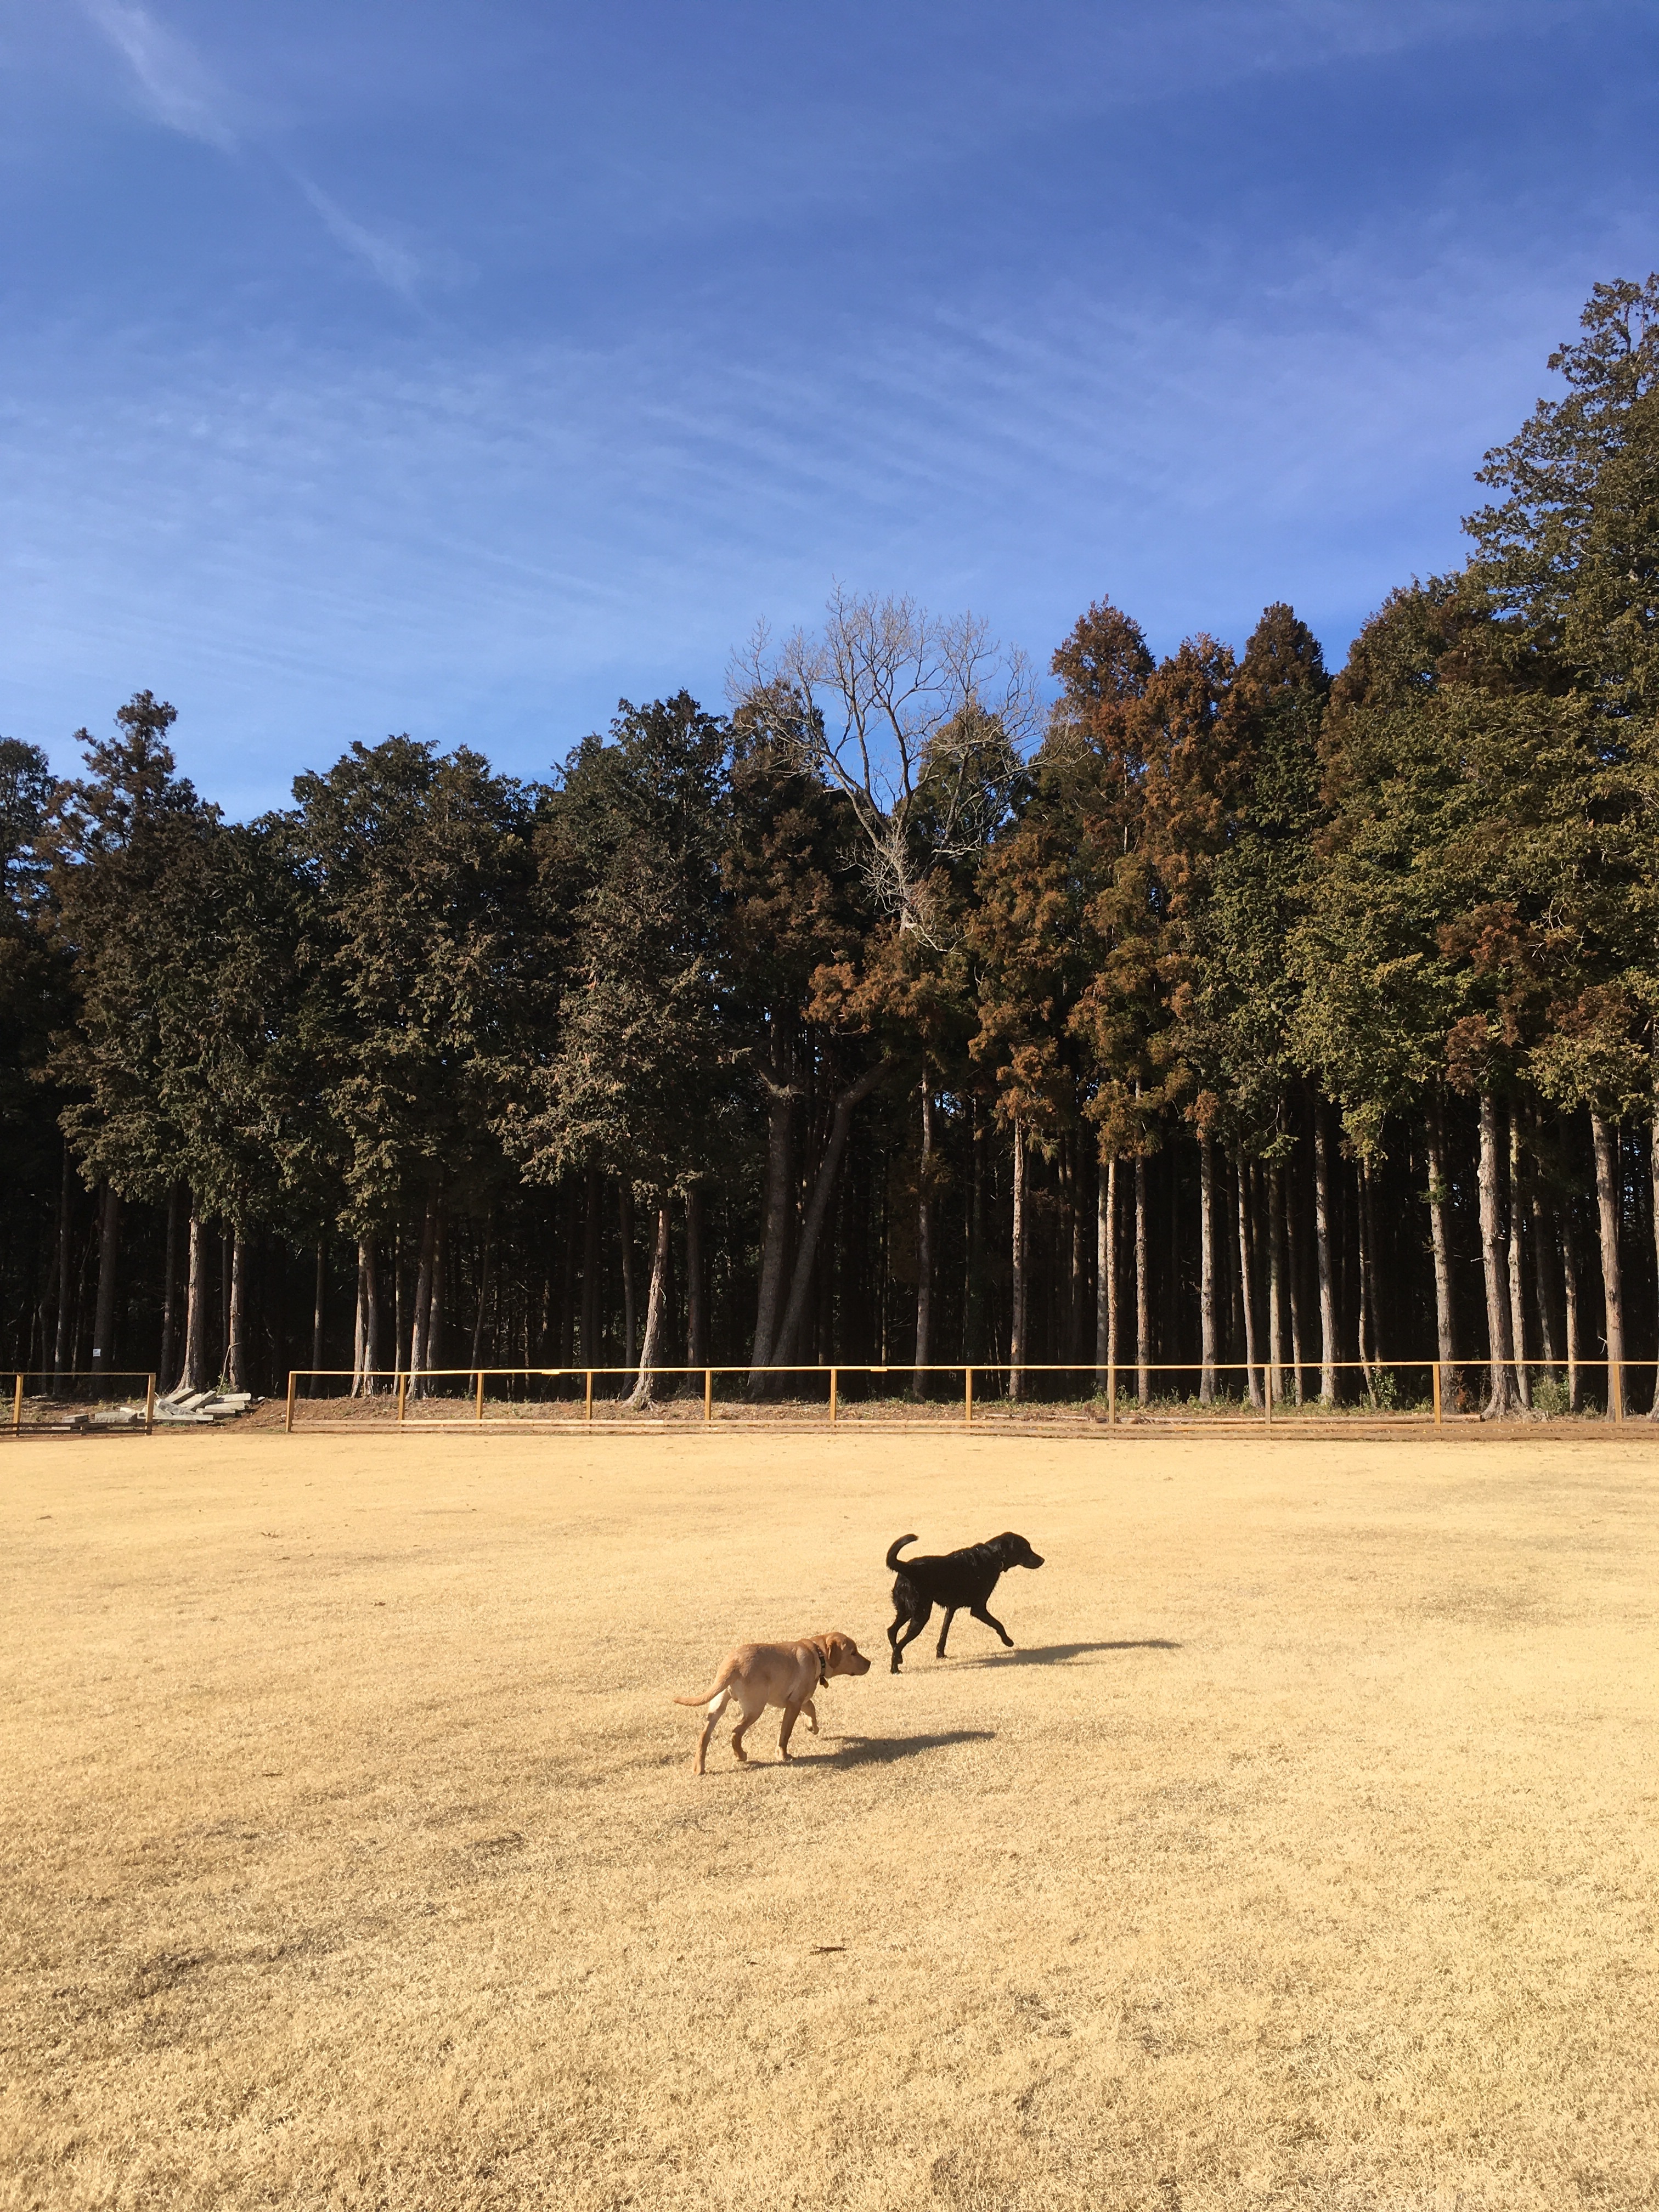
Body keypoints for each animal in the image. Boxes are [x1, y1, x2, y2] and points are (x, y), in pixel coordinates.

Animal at [674, 1630, 871, 1774]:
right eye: (853, 1653)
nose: (870, 1663)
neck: (818, 1654)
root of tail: (733, 1663)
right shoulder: (793, 1704)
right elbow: (785, 1734)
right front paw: (783, 1755)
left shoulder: (798, 1698)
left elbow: (811, 1707)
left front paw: (812, 1727)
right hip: (755, 1708)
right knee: (736, 1732)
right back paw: (741, 1755)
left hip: (717, 1705)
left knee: (704, 1736)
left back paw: (699, 1768)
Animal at [886, 1532, 1044, 1672]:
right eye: (1025, 1548)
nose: (1042, 1560)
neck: (992, 1557)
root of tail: (906, 1568)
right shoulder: (979, 1609)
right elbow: (998, 1624)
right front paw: (1008, 1641)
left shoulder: (951, 1608)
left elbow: (944, 1632)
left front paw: (940, 1654)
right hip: (921, 1615)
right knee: (899, 1642)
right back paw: (895, 1669)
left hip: (906, 1612)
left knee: (891, 1631)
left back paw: (899, 1658)